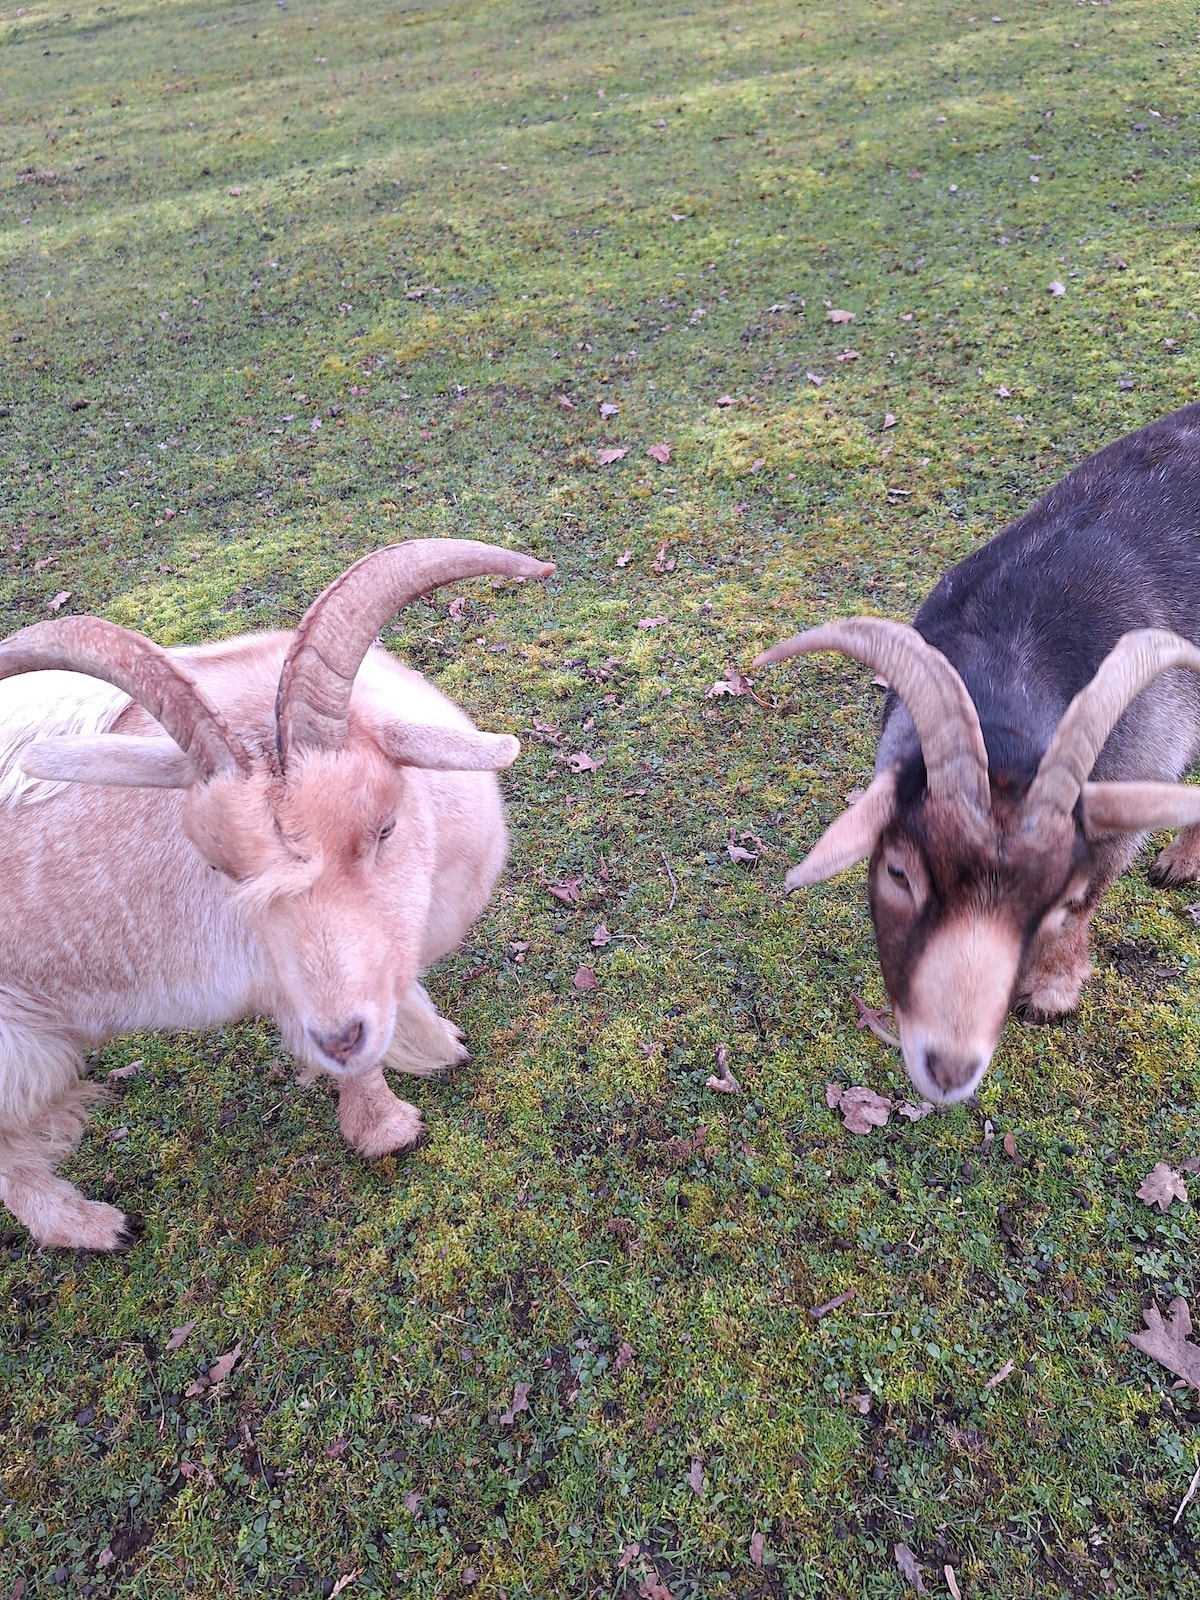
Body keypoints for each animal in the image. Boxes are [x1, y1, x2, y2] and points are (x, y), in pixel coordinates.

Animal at [0, 537, 553, 1248]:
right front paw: (389, 1127)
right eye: (218, 869)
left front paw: (440, 1041)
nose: (340, 1036)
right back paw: (96, 1226)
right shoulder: (287, 984)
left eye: (384, 827)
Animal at [761, 403, 1200, 1100]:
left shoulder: (1135, 783)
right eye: (898, 872)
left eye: (1053, 900)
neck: (1013, 660)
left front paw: (1051, 992)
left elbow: (1094, 894)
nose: (949, 1069)